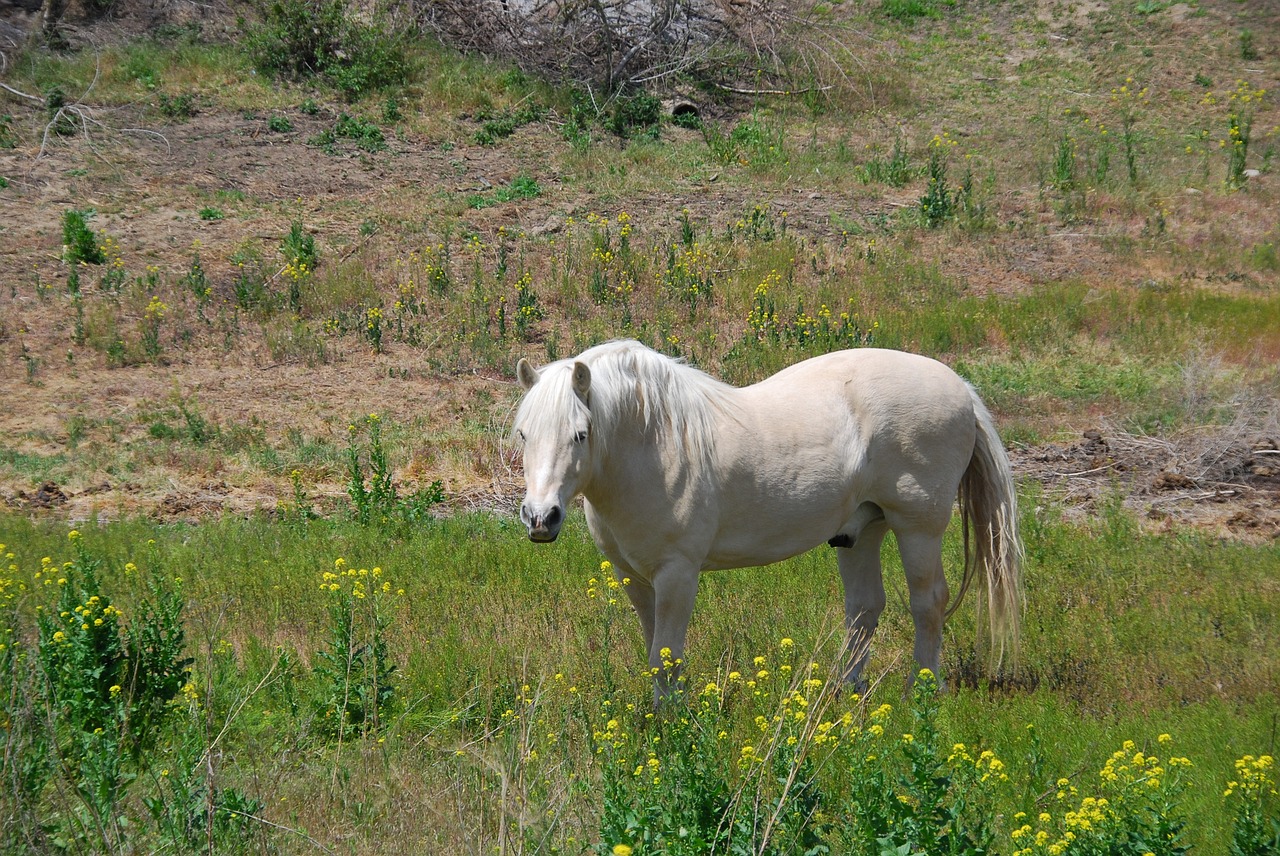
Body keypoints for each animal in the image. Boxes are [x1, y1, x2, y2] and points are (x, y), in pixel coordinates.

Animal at [509, 337, 1018, 701]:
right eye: (524, 433)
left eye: (580, 434)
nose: (540, 517)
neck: (655, 444)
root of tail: (961, 389)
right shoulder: (632, 576)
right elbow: (656, 653)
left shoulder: (677, 574)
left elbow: (667, 655)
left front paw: (673, 724)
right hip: (862, 529)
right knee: (865, 607)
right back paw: (845, 690)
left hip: (918, 528)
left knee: (928, 602)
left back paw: (924, 689)